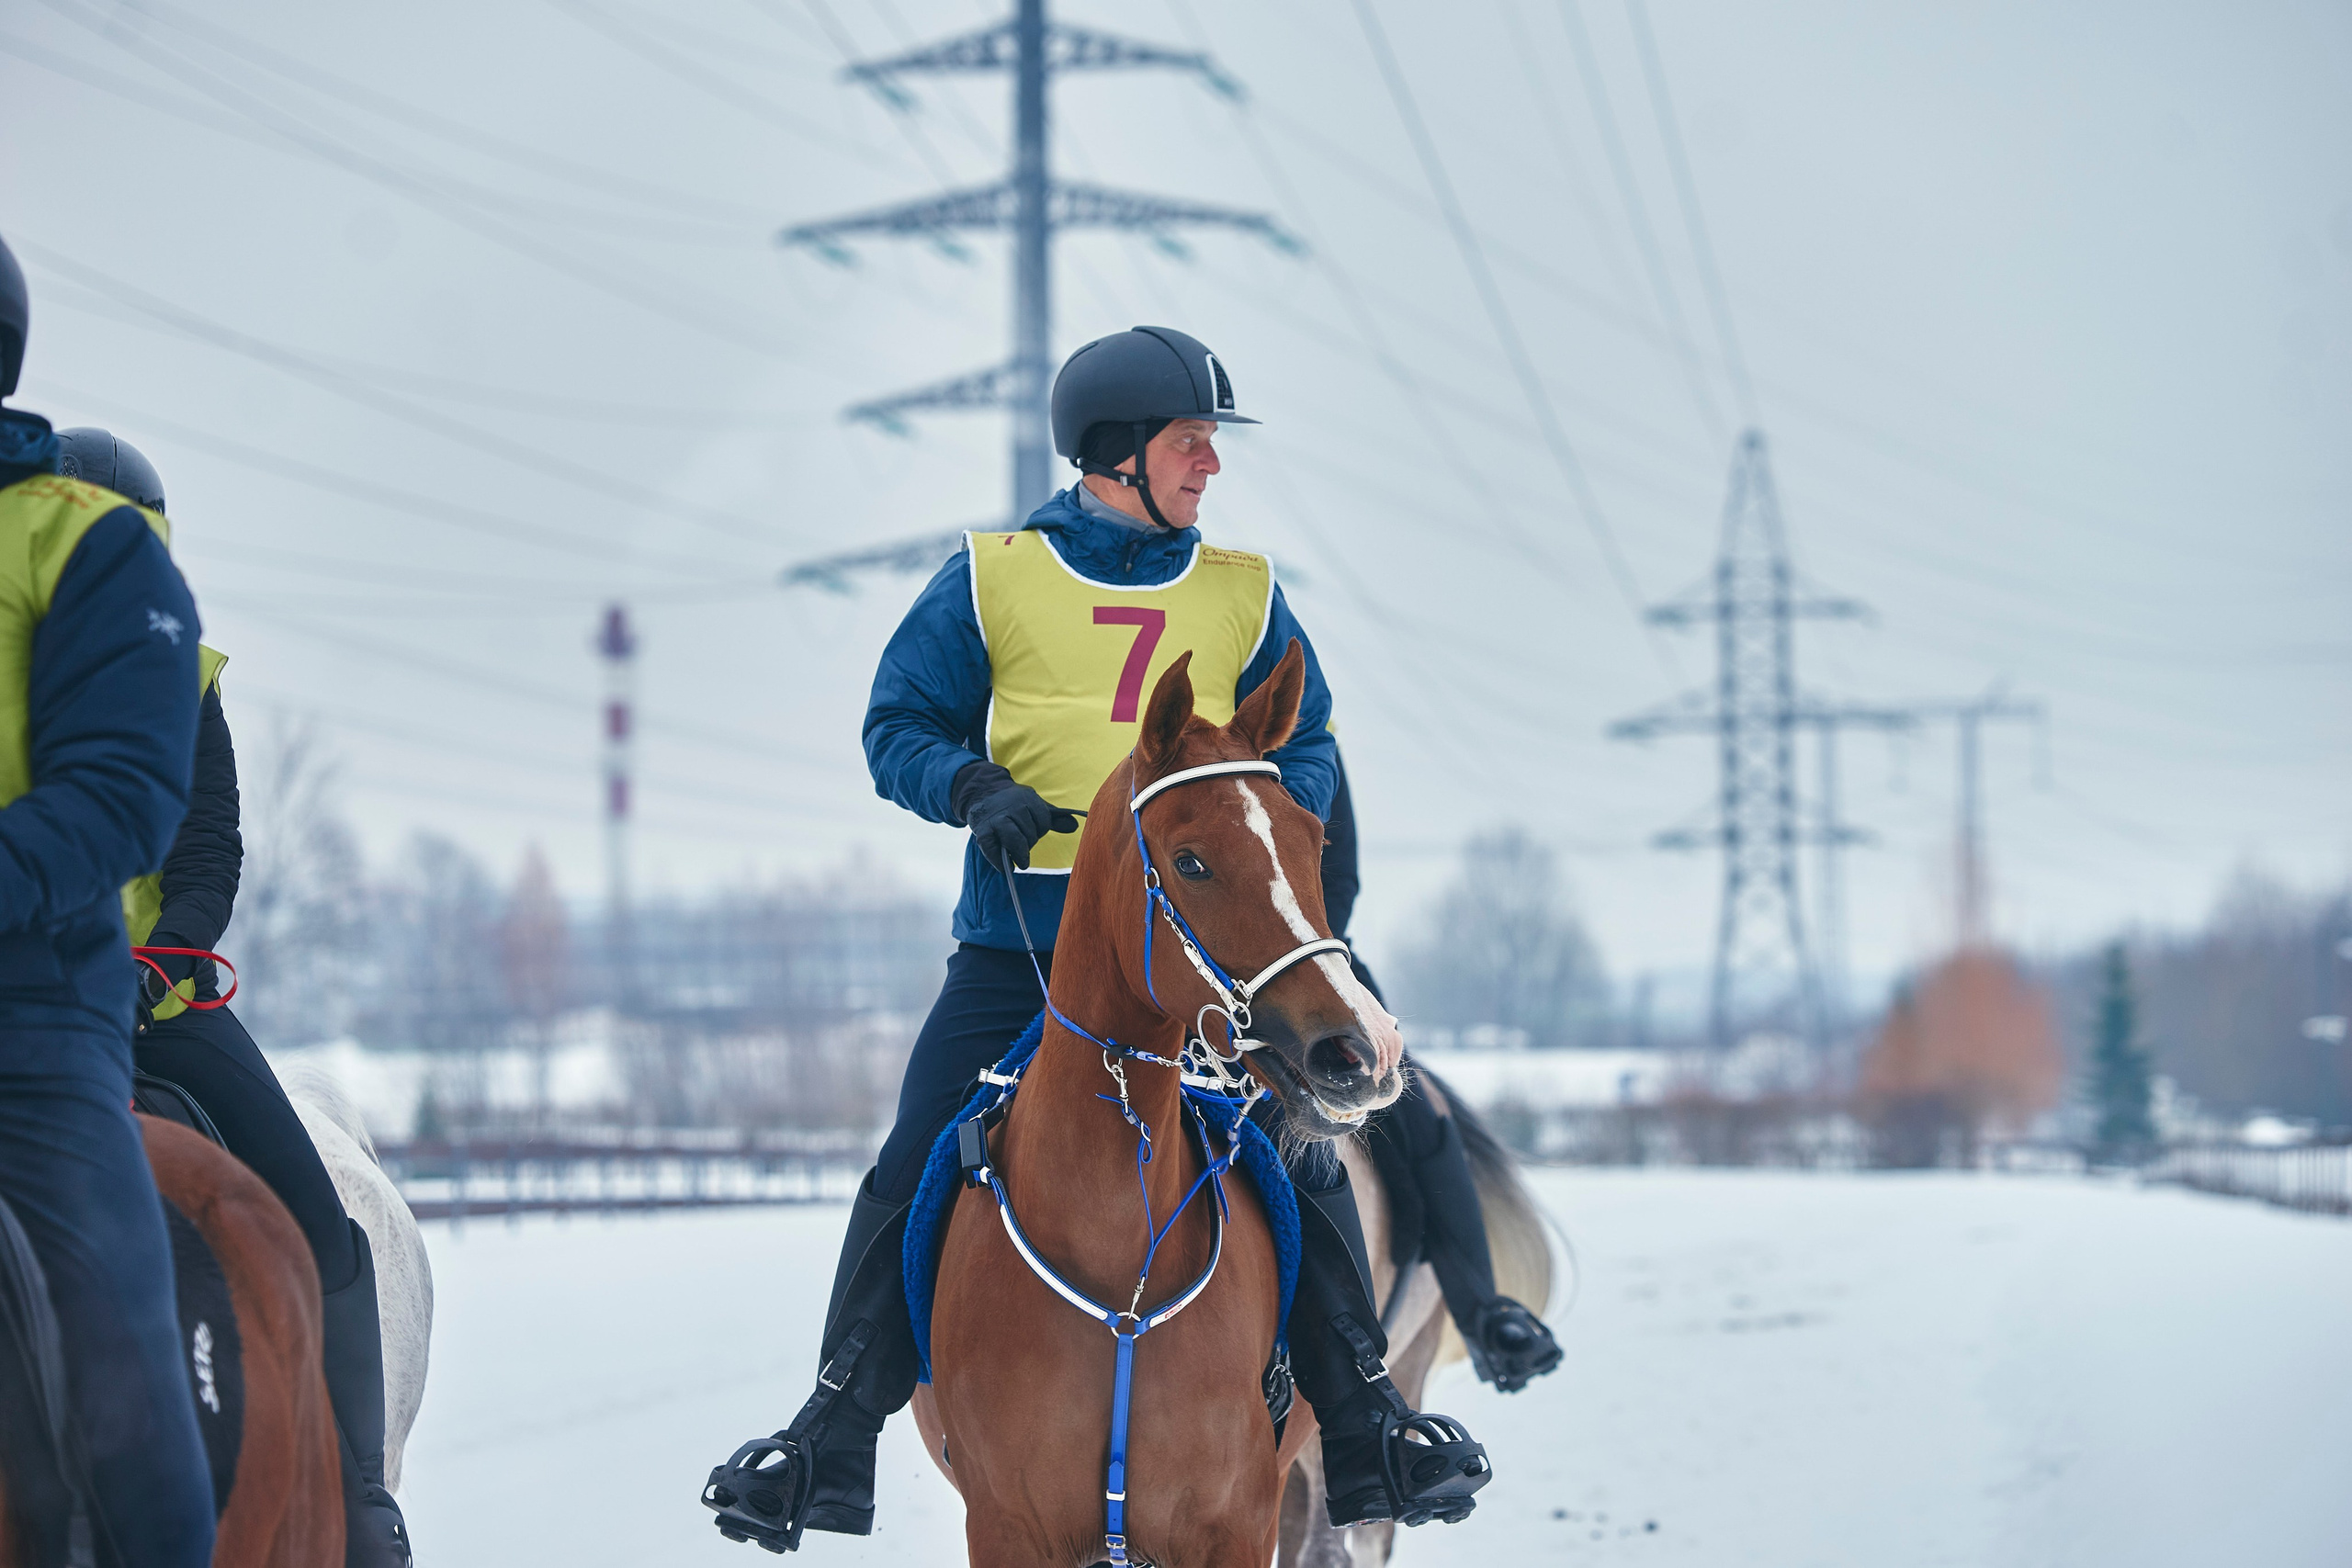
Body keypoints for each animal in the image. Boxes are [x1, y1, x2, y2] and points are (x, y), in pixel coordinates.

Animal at [911, 642, 1415, 1568]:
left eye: (1313, 840)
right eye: (1191, 861)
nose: (1363, 1051)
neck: (1121, 1245)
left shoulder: (1235, 1522)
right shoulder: (1007, 1527)